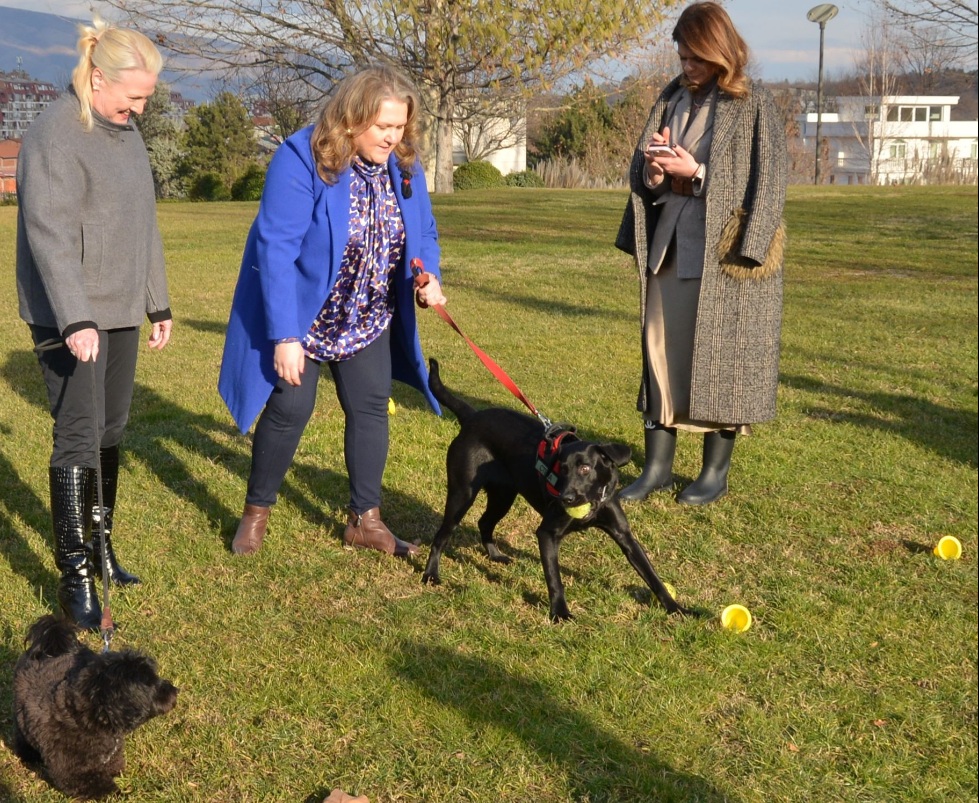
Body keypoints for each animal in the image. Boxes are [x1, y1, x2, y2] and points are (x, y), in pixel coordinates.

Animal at [424, 362, 688, 624]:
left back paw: (495, 555)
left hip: (502, 496)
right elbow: (554, 579)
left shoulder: (624, 535)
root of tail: (472, 416)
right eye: (561, 468)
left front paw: (676, 608)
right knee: (441, 536)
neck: (591, 504)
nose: (565, 499)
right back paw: (430, 574)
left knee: (484, 522)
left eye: (585, 468)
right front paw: (560, 612)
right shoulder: (547, 534)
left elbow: (651, 575)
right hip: (462, 495)